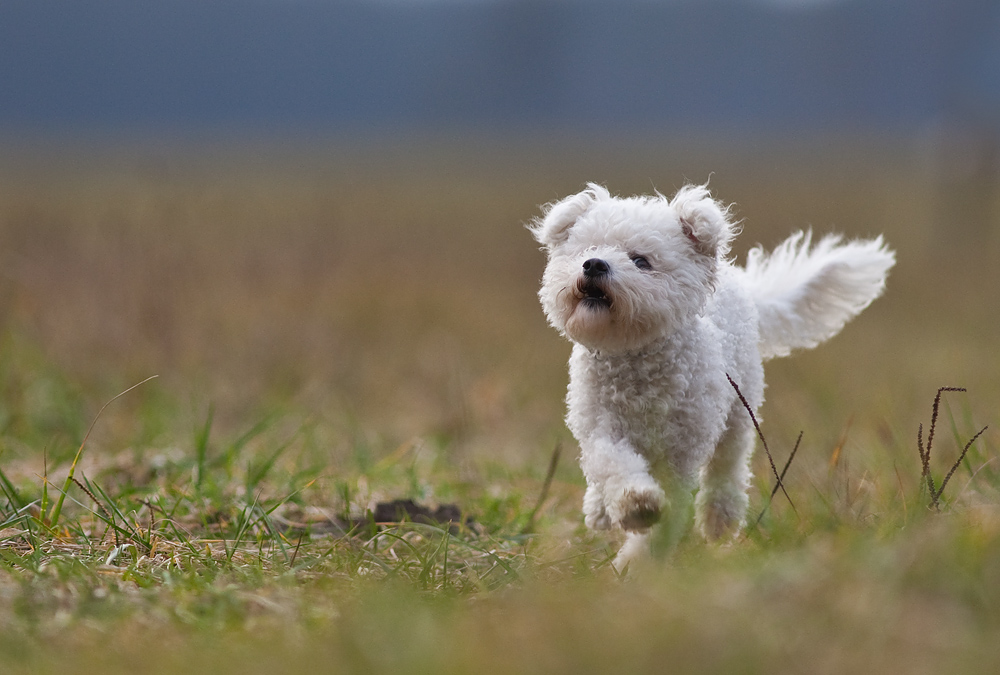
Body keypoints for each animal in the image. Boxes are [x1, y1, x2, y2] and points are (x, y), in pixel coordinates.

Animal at [536, 182, 896, 568]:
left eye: (641, 260)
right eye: (586, 250)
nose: (593, 264)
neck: (635, 360)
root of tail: (740, 283)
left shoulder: (680, 453)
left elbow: (670, 508)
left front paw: (637, 560)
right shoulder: (600, 427)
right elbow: (611, 464)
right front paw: (635, 506)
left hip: (739, 411)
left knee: (727, 470)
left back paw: (719, 520)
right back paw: (600, 510)